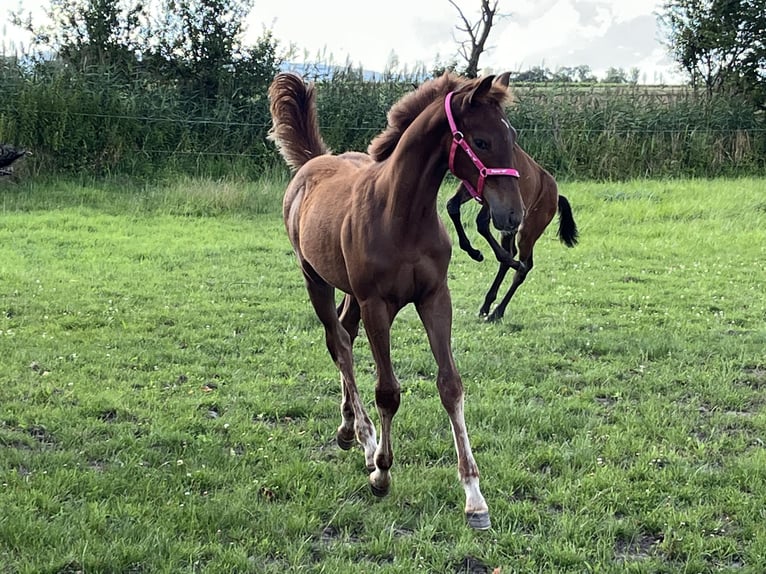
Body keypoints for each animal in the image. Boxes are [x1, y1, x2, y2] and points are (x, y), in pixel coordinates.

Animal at [268, 72, 524, 532]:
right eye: (481, 141)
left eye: (511, 135)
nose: (513, 215)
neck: (401, 214)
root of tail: (315, 162)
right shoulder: (377, 304)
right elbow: (387, 391)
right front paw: (382, 473)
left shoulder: (435, 299)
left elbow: (450, 385)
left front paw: (474, 497)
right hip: (316, 279)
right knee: (339, 345)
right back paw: (365, 440)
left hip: (349, 292)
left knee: (345, 335)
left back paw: (348, 428)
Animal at [448, 144, 580, 324]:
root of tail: (556, 196)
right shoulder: (472, 186)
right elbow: (452, 206)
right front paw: (474, 252)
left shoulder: (497, 198)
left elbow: (481, 223)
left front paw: (477, 253)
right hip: (512, 228)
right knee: (512, 255)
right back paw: (487, 306)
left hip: (528, 230)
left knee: (524, 266)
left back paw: (497, 311)